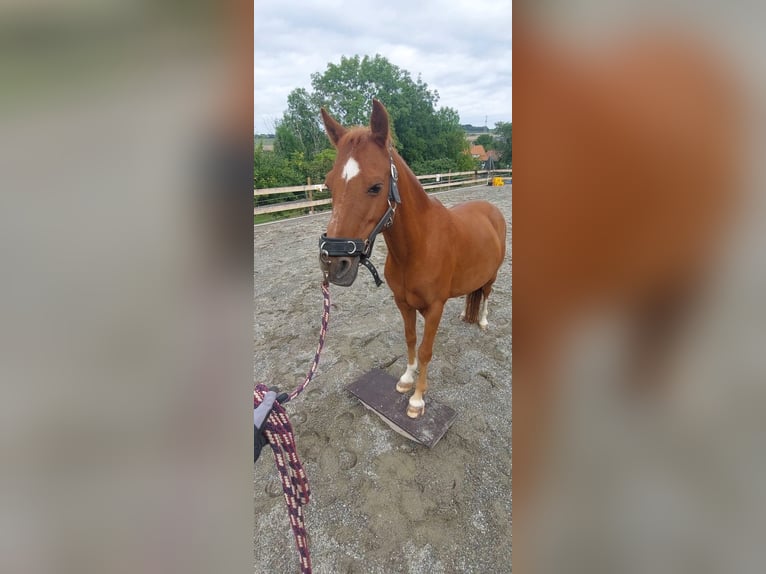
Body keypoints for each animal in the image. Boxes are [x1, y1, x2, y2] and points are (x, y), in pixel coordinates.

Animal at [318, 99, 507, 419]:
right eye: (330, 185)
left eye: (375, 186)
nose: (334, 264)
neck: (417, 248)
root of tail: (491, 209)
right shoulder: (403, 304)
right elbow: (410, 340)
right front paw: (406, 380)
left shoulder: (434, 308)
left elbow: (426, 349)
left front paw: (417, 400)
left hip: (492, 275)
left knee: (486, 295)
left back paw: (482, 321)